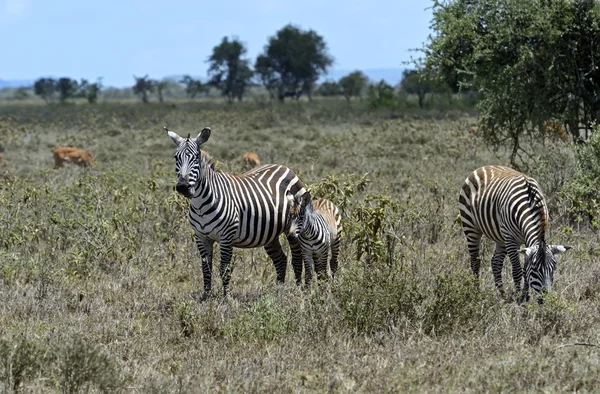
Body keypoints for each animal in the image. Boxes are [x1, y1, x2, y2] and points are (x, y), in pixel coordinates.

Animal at [166, 127, 308, 298]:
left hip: (292, 228)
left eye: (196, 157)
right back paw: (278, 290)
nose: (183, 187)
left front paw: (226, 297)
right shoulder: (201, 237)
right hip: (269, 234)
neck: (200, 205)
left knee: (297, 257)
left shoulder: (226, 237)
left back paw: (298, 289)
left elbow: (224, 269)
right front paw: (206, 296)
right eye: (176, 157)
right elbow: (205, 268)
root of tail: (283, 167)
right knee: (280, 259)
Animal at [460, 165, 572, 304]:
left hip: (500, 237)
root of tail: (483, 167)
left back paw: (502, 295)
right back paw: (476, 293)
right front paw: (518, 300)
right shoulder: (511, 239)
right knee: (475, 261)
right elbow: (517, 271)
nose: (546, 300)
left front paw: (525, 297)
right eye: (536, 269)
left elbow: (524, 270)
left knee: (495, 263)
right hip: (471, 227)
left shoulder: (525, 242)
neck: (530, 205)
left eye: (554, 268)